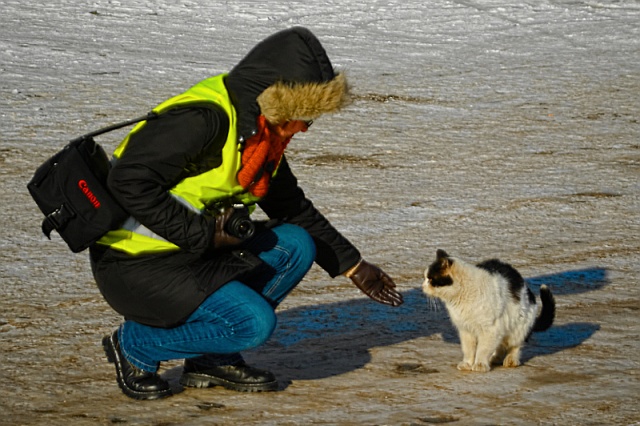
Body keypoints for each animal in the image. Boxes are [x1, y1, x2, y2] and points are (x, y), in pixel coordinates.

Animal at [422, 250, 552, 372]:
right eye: (426, 278)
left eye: (430, 279)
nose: (422, 286)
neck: (463, 295)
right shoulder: (466, 330)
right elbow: (468, 349)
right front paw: (468, 364)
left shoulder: (490, 329)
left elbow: (482, 349)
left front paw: (480, 364)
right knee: (501, 345)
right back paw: (495, 358)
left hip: (518, 328)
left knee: (515, 346)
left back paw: (511, 360)